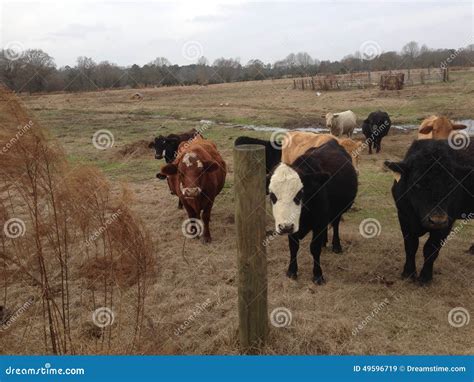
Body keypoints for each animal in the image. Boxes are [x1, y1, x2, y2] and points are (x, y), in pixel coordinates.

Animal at [268, 140, 358, 284]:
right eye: (272, 195)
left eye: (299, 194)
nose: (285, 227)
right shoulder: (295, 227)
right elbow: (293, 247)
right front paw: (292, 271)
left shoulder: (318, 223)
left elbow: (314, 248)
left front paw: (318, 275)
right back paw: (324, 242)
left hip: (337, 211)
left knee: (336, 224)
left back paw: (336, 246)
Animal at [386, 140, 474, 284]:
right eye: (417, 183)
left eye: (451, 184)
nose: (437, 220)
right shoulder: (404, 217)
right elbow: (410, 245)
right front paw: (408, 273)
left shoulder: (446, 223)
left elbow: (430, 249)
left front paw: (425, 277)